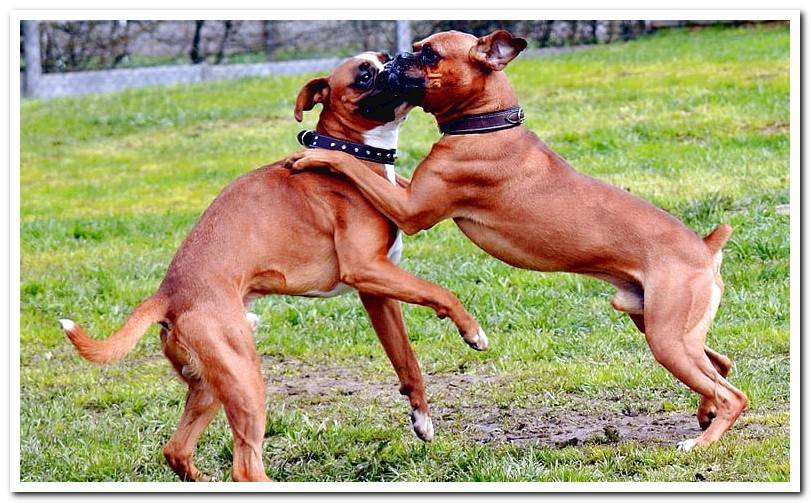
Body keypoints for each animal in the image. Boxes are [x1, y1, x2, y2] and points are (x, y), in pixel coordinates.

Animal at [60, 53, 488, 482]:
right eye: (364, 75)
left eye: (384, 59)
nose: (397, 62)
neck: (353, 154)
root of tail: (168, 294)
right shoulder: (367, 269)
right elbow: (440, 292)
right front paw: (472, 331)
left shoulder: (378, 293)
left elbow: (406, 359)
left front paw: (421, 417)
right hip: (245, 379)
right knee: (244, 467)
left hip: (212, 386)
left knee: (177, 450)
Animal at [288, 29, 752, 450]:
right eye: (413, 49)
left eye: (430, 55)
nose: (398, 57)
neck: (486, 125)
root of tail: (707, 247)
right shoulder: (409, 193)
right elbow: (376, 172)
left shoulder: (412, 209)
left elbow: (355, 167)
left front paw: (316, 154)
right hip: (664, 329)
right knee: (720, 364)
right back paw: (705, 414)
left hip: (667, 339)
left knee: (733, 395)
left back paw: (703, 442)